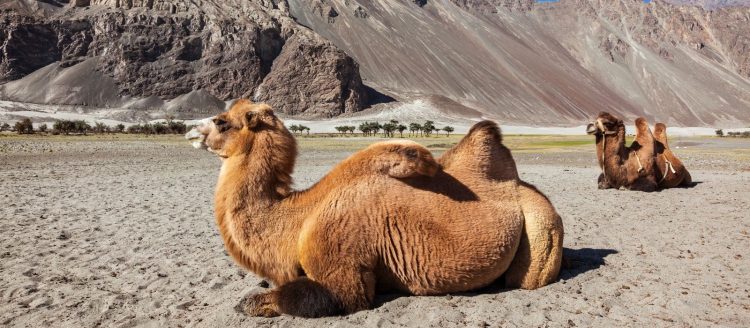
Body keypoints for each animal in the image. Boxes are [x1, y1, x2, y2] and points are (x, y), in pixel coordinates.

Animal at [187, 100, 564, 318]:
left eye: (222, 122)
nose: (190, 131)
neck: (295, 220)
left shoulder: (343, 273)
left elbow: (297, 299)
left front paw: (251, 302)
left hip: (542, 231)